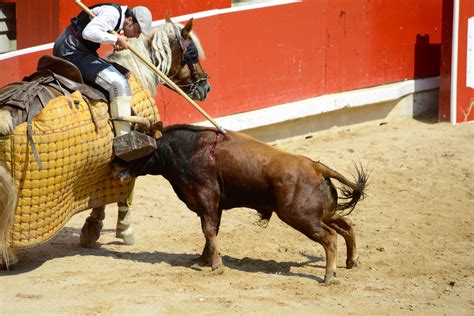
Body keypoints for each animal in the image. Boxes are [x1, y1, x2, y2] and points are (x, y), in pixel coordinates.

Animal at [0, 18, 209, 266]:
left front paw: (92, 228)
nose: (206, 87)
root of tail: (10, 109)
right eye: (192, 54)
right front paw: (123, 229)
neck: (137, 69)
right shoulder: (135, 154)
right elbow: (124, 192)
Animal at [117, 124, 366, 284]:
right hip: (321, 214)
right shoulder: (212, 205)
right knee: (347, 225)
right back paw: (351, 261)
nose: (117, 170)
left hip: (299, 216)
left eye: (137, 148)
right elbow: (211, 231)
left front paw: (215, 265)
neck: (186, 148)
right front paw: (203, 260)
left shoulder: (206, 196)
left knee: (330, 236)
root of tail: (316, 167)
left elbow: (208, 230)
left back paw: (329, 276)